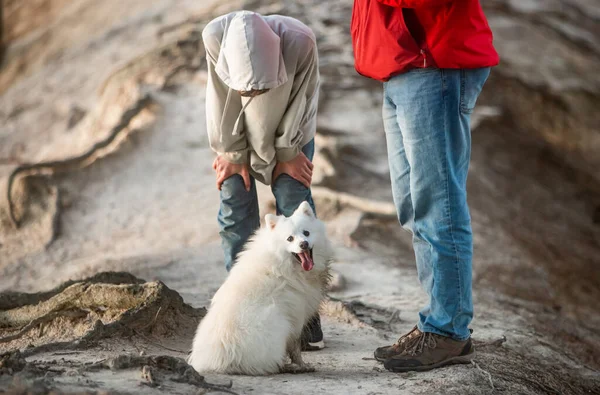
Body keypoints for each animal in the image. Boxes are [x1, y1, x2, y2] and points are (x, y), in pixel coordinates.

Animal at [189, 203, 332, 376]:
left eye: (306, 233)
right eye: (290, 238)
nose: (303, 244)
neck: (282, 263)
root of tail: (218, 363)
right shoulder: (296, 314)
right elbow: (295, 347)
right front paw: (302, 365)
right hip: (275, 321)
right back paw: (287, 367)